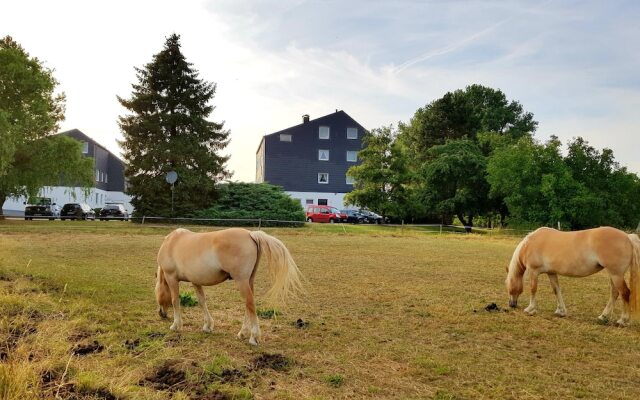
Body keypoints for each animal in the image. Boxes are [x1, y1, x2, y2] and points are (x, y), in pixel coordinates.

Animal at [156, 227, 304, 346]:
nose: (161, 314)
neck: (172, 242)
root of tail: (251, 234)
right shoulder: (196, 281)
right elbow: (202, 301)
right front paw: (207, 326)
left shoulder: (171, 278)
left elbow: (175, 300)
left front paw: (176, 325)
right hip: (248, 281)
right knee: (248, 306)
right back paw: (242, 333)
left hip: (241, 281)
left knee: (250, 304)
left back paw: (253, 338)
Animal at [508, 227, 636, 324]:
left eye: (509, 287)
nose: (511, 305)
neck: (529, 245)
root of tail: (627, 237)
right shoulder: (551, 273)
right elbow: (556, 290)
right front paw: (561, 311)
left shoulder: (533, 271)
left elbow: (533, 289)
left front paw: (530, 309)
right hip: (613, 275)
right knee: (614, 293)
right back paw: (603, 317)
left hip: (616, 275)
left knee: (625, 293)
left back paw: (623, 320)